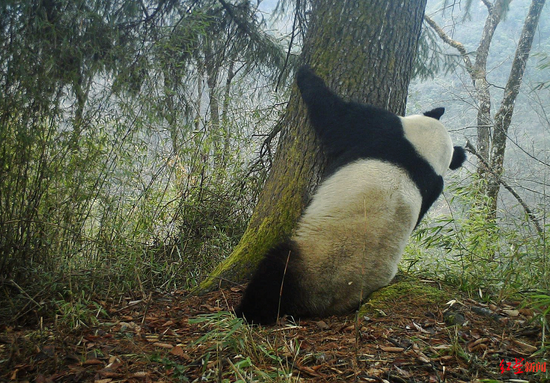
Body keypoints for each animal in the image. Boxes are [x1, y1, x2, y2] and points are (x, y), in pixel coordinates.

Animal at [235, 66, 468, 324]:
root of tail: (327, 302)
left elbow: (335, 115)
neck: (421, 155)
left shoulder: (380, 130)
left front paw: (305, 71)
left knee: (274, 274)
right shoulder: (433, 186)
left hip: (309, 259)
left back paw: (247, 313)